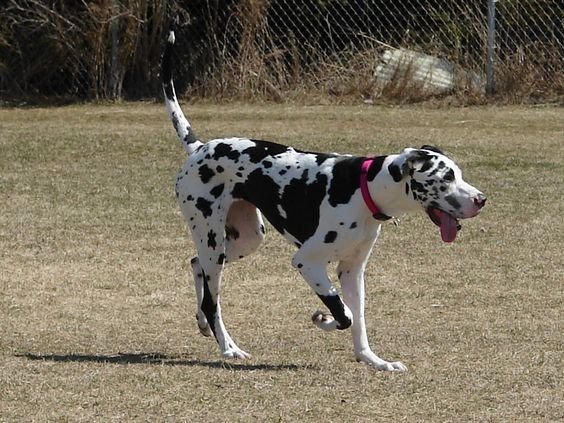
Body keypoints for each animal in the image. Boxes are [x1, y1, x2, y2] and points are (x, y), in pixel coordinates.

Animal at [162, 32, 484, 372]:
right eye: (446, 177)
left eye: (459, 174)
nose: (481, 199)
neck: (365, 188)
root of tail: (199, 147)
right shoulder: (307, 261)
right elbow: (345, 313)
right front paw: (324, 318)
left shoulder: (352, 271)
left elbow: (359, 321)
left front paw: (373, 360)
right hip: (213, 240)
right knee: (213, 300)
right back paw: (228, 347)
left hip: (243, 240)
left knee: (196, 265)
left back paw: (202, 323)